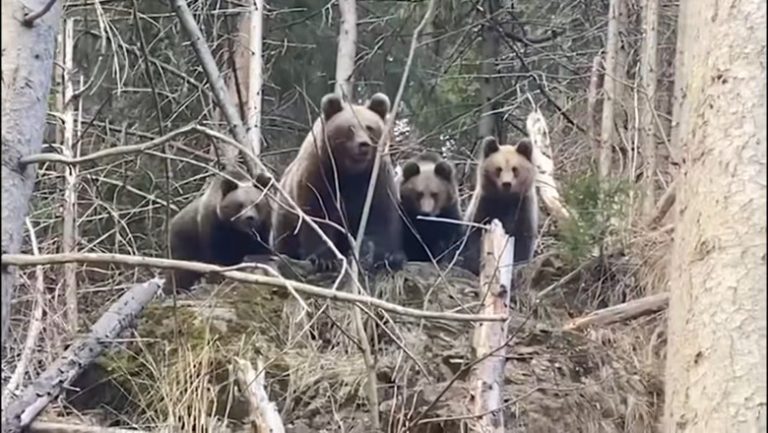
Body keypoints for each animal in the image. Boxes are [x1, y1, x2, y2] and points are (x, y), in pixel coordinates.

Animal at [271, 92, 405, 272]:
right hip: (285, 214)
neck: (349, 171)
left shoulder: (376, 177)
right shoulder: (319, 174)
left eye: (369, 127)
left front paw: (388, 257)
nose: (363, 145)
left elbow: (381, 214)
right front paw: (324, 259)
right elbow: (318, 214)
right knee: (285, 239)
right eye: (350, 128)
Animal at [461, 136, 539, 275]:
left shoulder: (523, 206)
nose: (506, 184)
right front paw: (475, 264)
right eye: (498, 169)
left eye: (515, 169)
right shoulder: (486, 203)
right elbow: (476, 232)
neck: (505, 198)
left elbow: (522, 239)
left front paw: (517, 265)